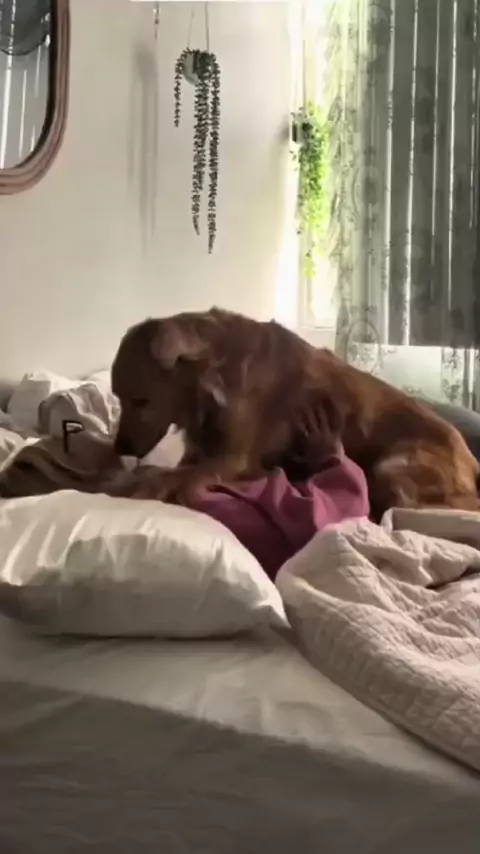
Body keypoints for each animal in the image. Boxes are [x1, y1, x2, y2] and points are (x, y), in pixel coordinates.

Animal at [109, 307, 480, 519]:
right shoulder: (203, 451)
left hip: (393, 465)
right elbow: (174, 468)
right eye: (117, 397)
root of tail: (471, 457)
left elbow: (169, 475)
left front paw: (135, 482)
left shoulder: (233, 459)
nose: (119, 448)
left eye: (140, 400)